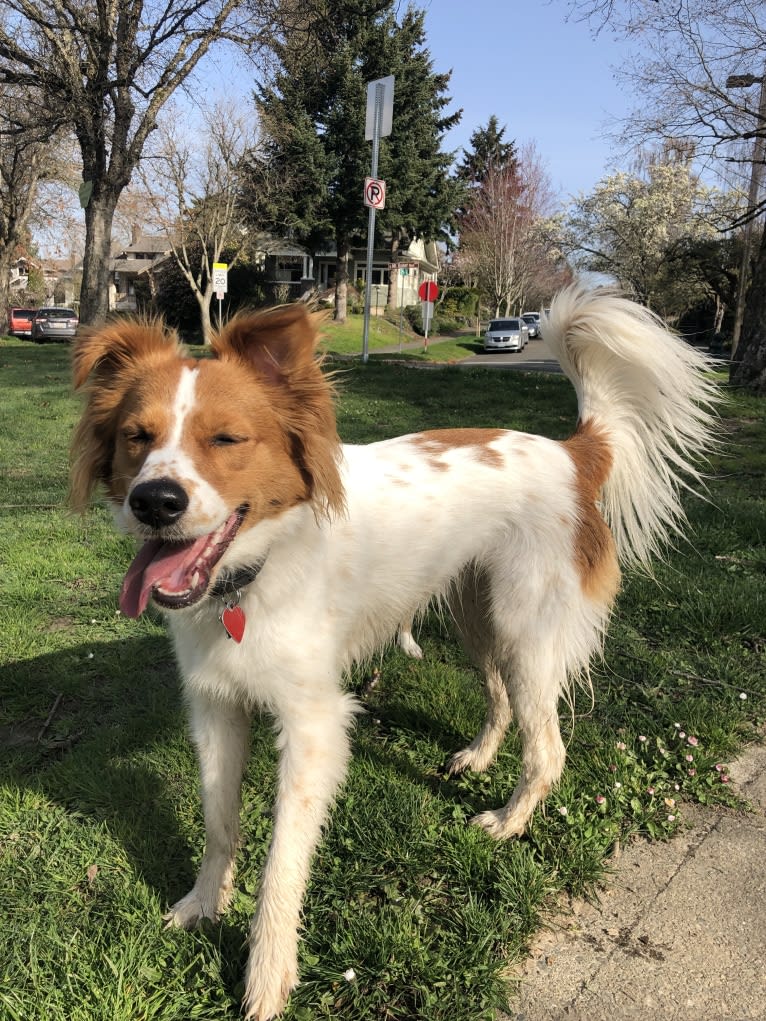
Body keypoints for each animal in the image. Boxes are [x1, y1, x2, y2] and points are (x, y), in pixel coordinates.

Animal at [70, 285, 719, 1021]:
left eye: (227, 439)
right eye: (137, 437)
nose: (154, 502)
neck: (255, 570)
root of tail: (572, 452)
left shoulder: (314, 728)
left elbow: (281, 863)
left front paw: (268, 974)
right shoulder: (214, 706)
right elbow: (218, 822)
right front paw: (205, 904)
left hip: (526, 631)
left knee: (548, 749)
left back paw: (507, 822)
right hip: (478, 617)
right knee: (499, 699)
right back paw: (477, 757)